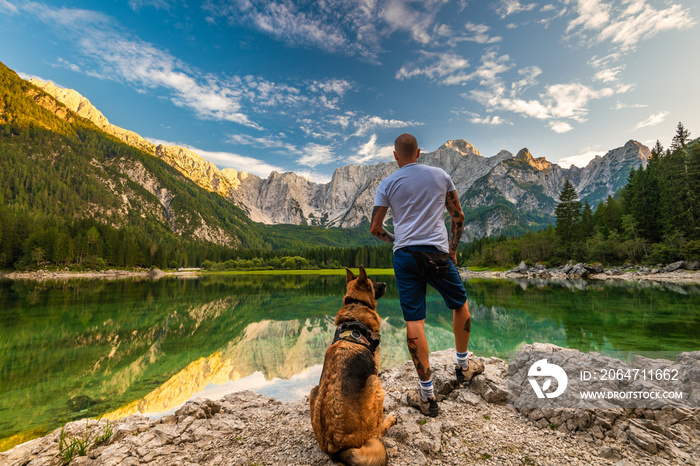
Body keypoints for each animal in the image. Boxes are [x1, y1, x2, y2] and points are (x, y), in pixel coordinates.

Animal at [308, 266, 396, 466]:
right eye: (372, 283)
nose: (385, 282)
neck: (356, 304)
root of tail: (338, 449)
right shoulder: (375, 367)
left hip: (313, 391)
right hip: (375, 384)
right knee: (377, 432)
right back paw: (389, 420)